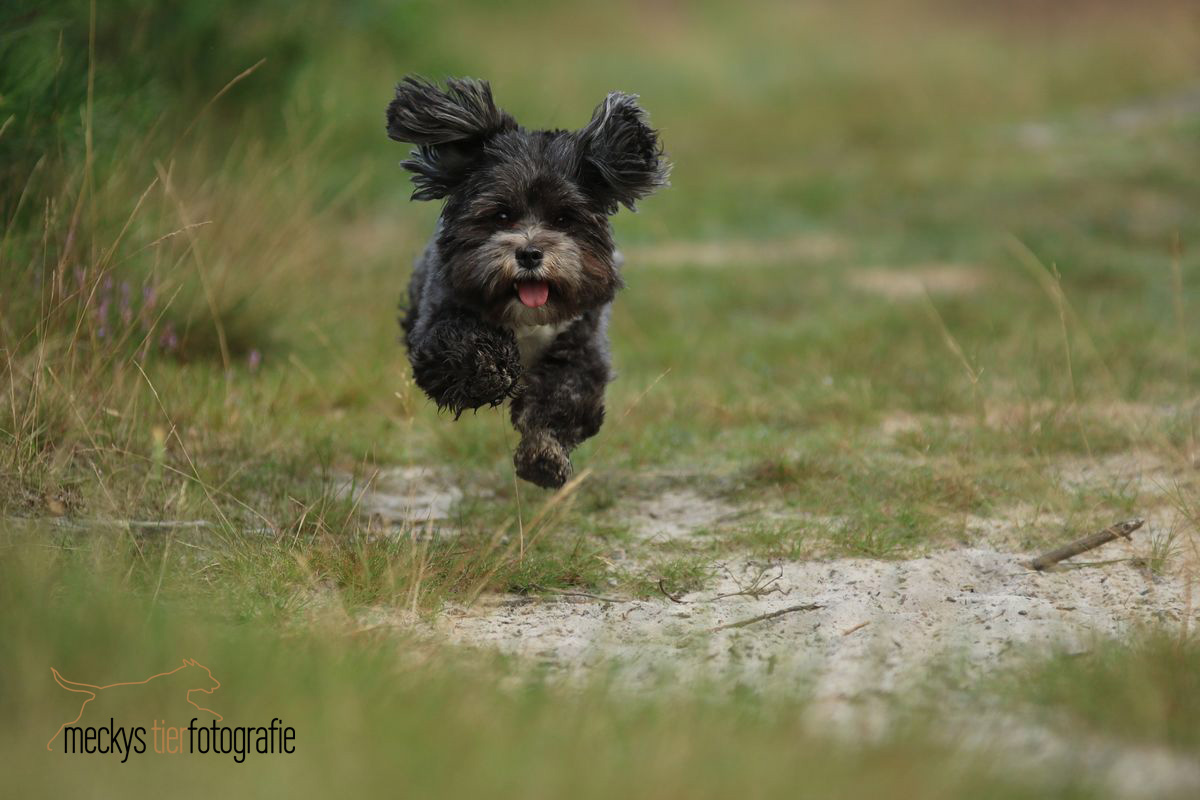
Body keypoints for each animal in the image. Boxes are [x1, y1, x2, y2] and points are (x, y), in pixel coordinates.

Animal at [386, 76, 672, 489]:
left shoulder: (581, 348)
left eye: (564, 219)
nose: (530, 253)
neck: (527, 322)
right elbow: (459, 345)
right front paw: (492, 369)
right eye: (501, 215)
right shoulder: (439, 319)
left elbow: (560, 401)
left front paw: (543, 460)